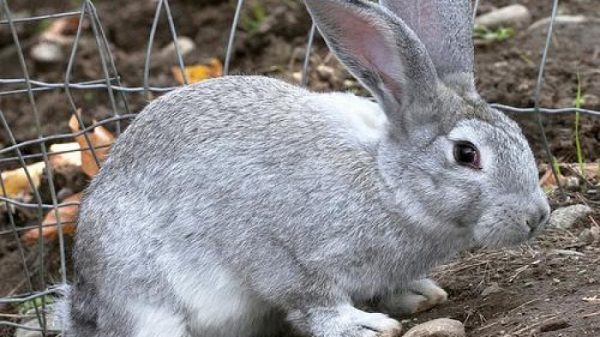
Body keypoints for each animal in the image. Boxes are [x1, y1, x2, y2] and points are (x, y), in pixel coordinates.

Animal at [56, 0, 548, 336]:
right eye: (467, 154)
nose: (537, 216)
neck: (388, 184)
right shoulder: (282, 255)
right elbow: (313, 300)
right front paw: (364, 326)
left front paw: (416, 295)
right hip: (146, 297)